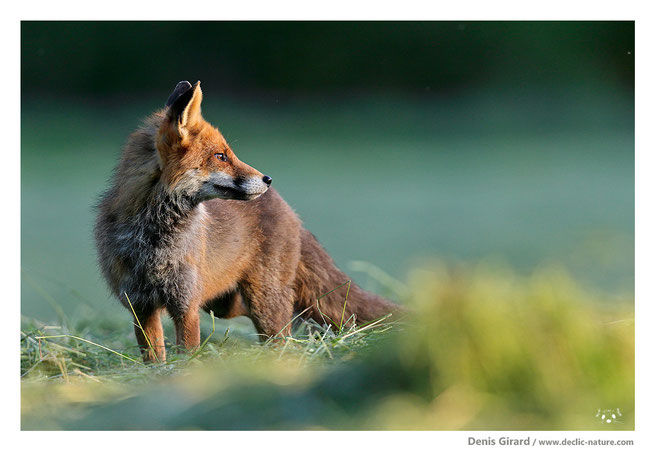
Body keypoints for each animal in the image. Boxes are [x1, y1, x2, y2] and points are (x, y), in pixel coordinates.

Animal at [92, 81, 400, 362]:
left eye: (228, 153)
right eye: (220, 156)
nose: (268, 179)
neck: (152, 240)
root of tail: (288, 209)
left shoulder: (186, 304)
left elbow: (186, 352)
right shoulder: (141, 307)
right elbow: (154, 357)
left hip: (263, 302)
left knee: (282, 334)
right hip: (224, 303)